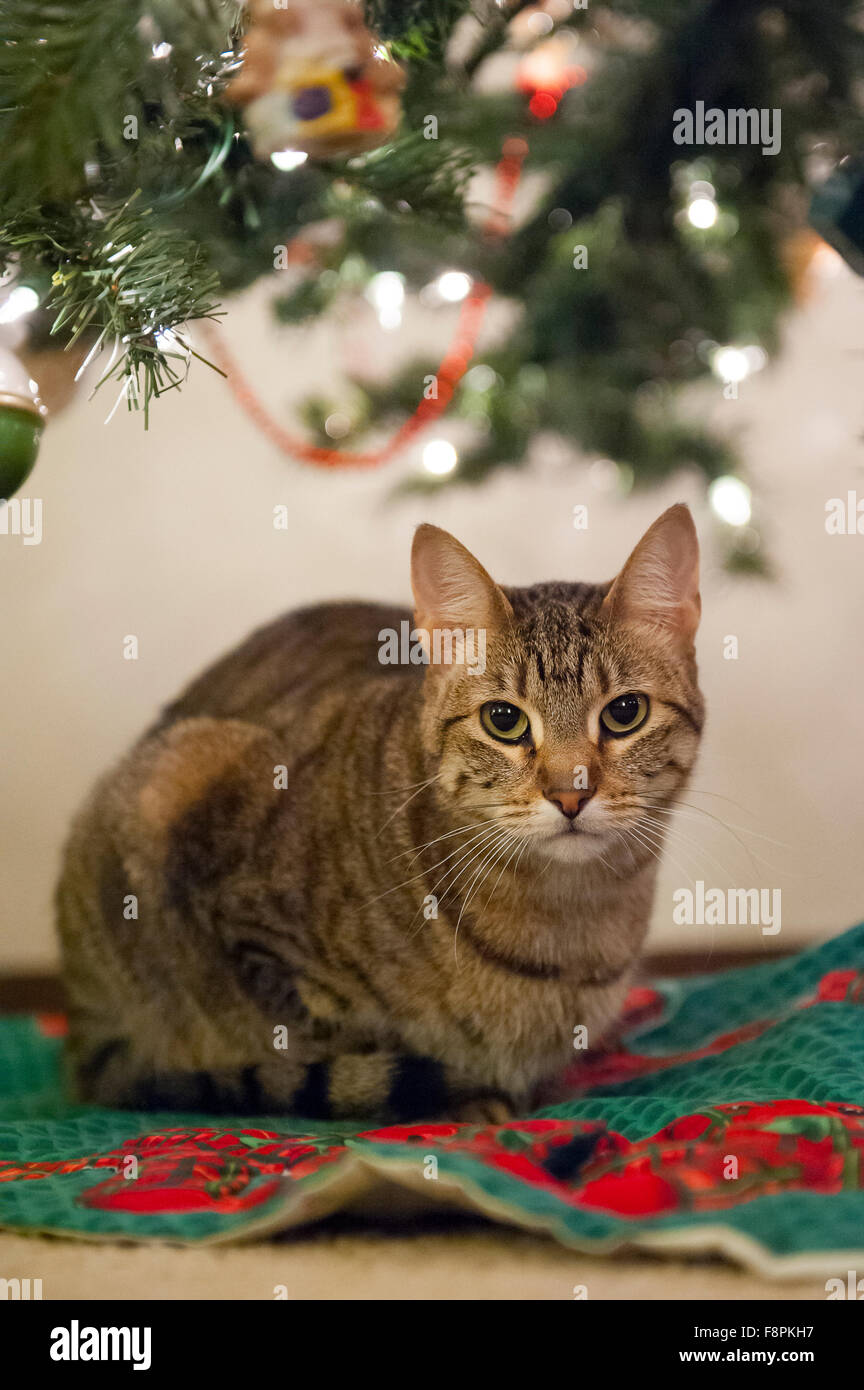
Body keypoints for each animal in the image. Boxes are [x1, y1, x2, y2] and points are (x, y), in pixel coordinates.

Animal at [55, 505, 705, 1123]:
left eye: (624, 712)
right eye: (503, 720)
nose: (571, 795)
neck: (567, 918)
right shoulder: (253, 940)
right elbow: (342, 1046)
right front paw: (461, 1097)